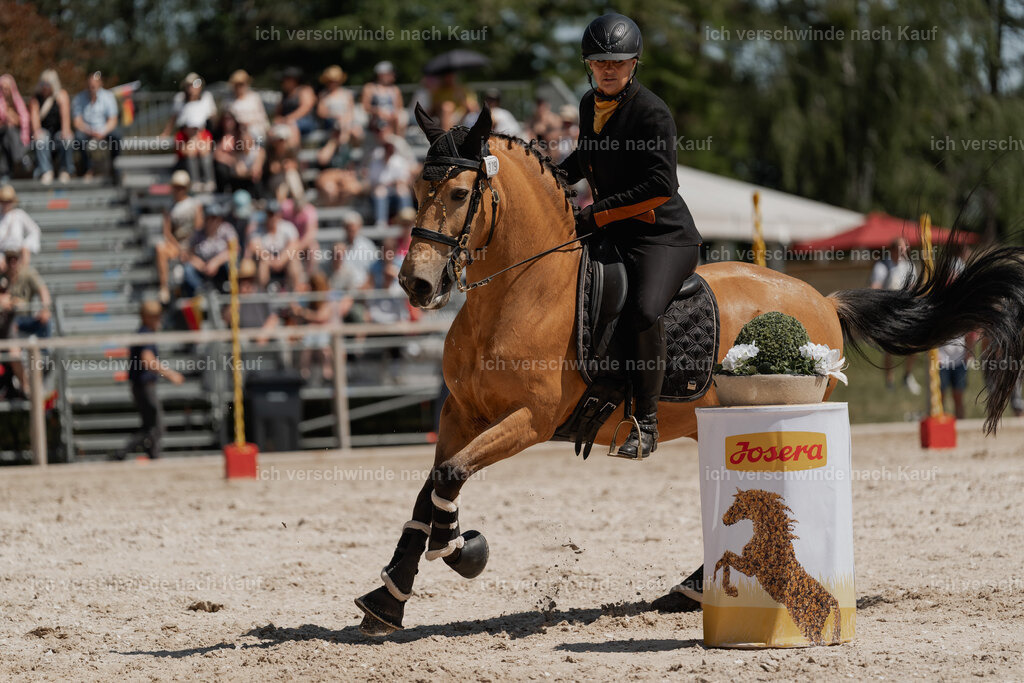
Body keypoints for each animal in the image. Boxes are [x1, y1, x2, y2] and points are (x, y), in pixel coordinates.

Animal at [714, 488, 841, 645]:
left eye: (739, 504)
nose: (724, 519)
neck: (769, 537)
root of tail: (831, 599)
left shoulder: (748, 567)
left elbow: (725, 558)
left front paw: (730, 589)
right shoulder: (747, 565)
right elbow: (724, 559)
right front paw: (729, 589)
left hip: (806, 621)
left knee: (818, 640)